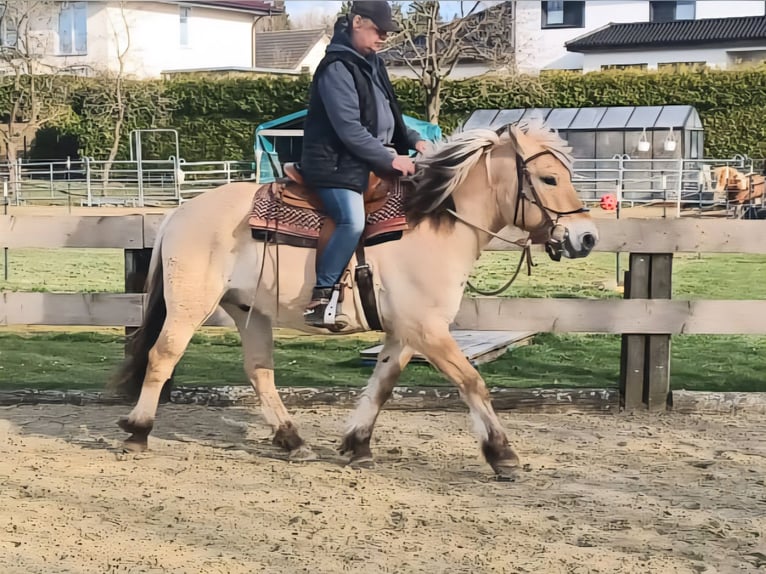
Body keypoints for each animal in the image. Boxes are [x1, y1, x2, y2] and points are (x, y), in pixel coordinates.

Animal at [110, 120, 599, 477]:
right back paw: (137, 432)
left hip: (249, 311)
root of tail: (179, 211)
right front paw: (502, 454)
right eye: (549, 177)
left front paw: (357, 443)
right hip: (190, 307)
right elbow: (472, 382)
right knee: (162, 356)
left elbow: (381, 386)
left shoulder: (404, 333)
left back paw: (293, 440)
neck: (435, 224)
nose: (587, 237)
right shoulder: (429, 330)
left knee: (259, 372)